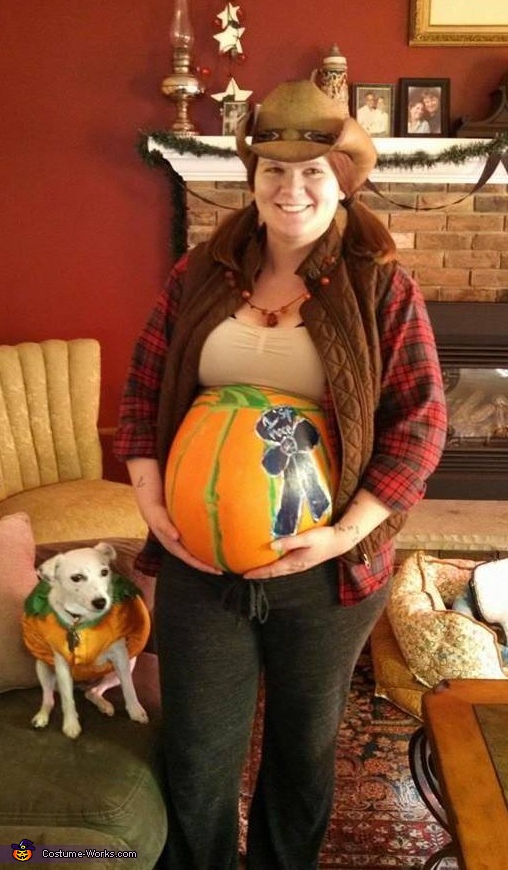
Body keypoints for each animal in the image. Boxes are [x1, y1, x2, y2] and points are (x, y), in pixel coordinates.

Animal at [22, 540, 150, 740]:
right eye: (77, 577)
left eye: (104, 572)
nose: (101, 602)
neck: (82, 621)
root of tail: (81, 685)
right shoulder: (61, 665)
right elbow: (67, 699)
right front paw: (71, 724)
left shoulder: (121, 657)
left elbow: (129, 687)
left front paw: (136, 711)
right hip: (43, 667)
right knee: (49, 698)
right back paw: (42, 717)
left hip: (126, 666)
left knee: (93, 691)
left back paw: (103, 704)